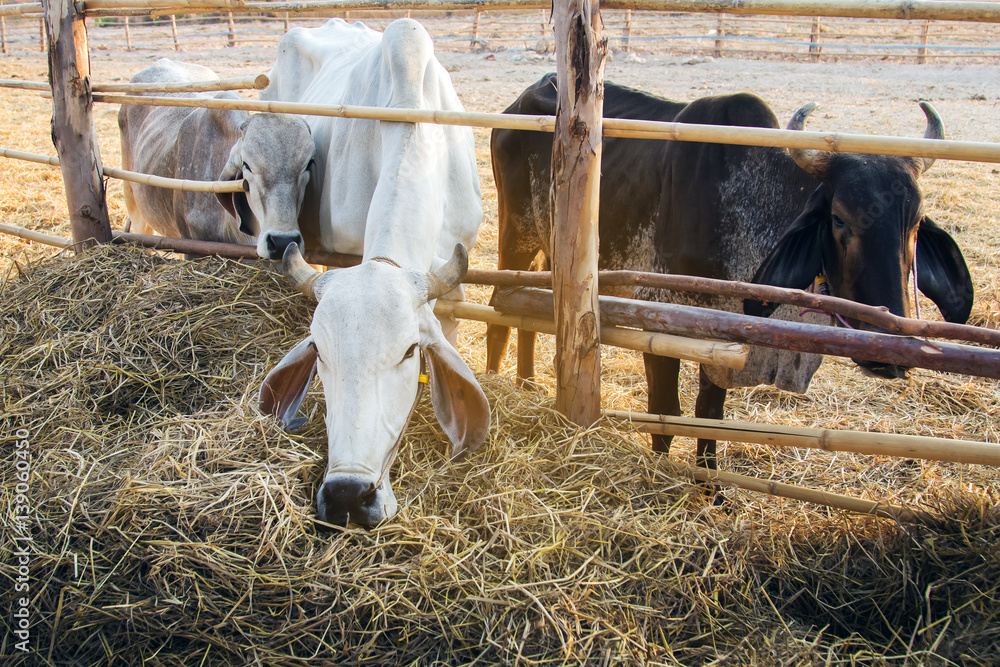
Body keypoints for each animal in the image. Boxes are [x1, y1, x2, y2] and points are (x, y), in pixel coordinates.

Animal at [488, 72, 972, 470]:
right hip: (516, 234)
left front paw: (709, 489)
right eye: (839, 219)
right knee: (499, 313)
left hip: (551, 250)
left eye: (915, 224)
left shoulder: (722, 337)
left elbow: (709, 415)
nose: (890, 352)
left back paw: (527, 384)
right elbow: (666, 411)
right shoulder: (657, 316)